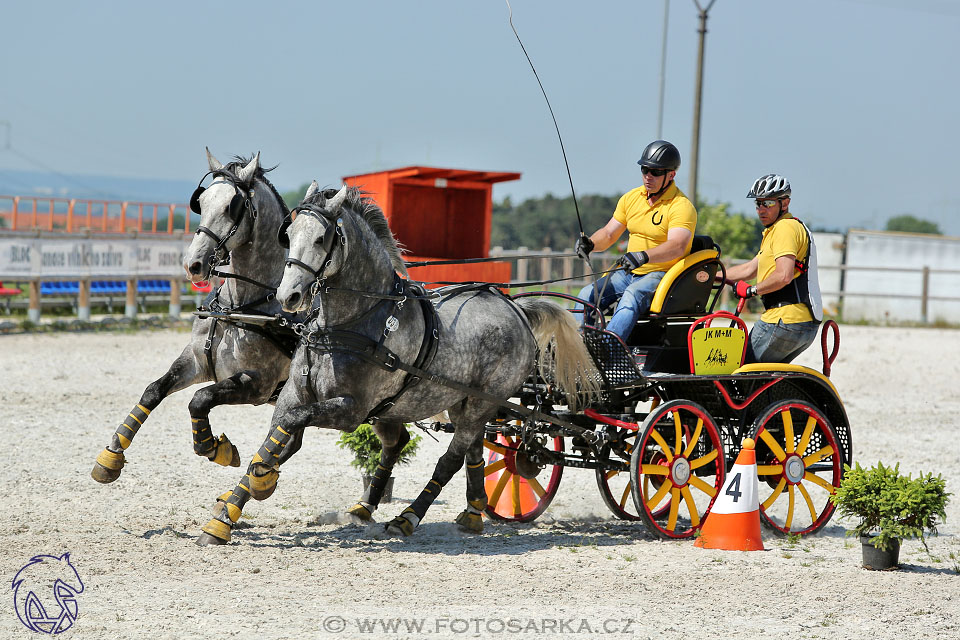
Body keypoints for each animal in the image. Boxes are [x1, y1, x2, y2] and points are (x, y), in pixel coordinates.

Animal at [94, 150, 298, 484]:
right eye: (201, 202)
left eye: (232, 206)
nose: (193, 264)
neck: (241, 306)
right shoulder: (196, 362)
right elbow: (154, 390)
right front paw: (111, 455)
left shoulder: (259, 384)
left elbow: (200, 399)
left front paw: (216, 448)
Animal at [198, 181, 596, 544]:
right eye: (289, 235)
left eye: (322, 239)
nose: (289, 296)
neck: (350, 323)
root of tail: (517, 309)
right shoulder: (291, 395)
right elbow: (273, 438)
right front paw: (226, 514)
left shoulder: (350, 410)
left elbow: (289, 429)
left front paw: (260, 481)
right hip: (466, 402)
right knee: (473, 449)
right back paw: (472, 511)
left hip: (482, 402)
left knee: (451, 458)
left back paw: (408, 517)